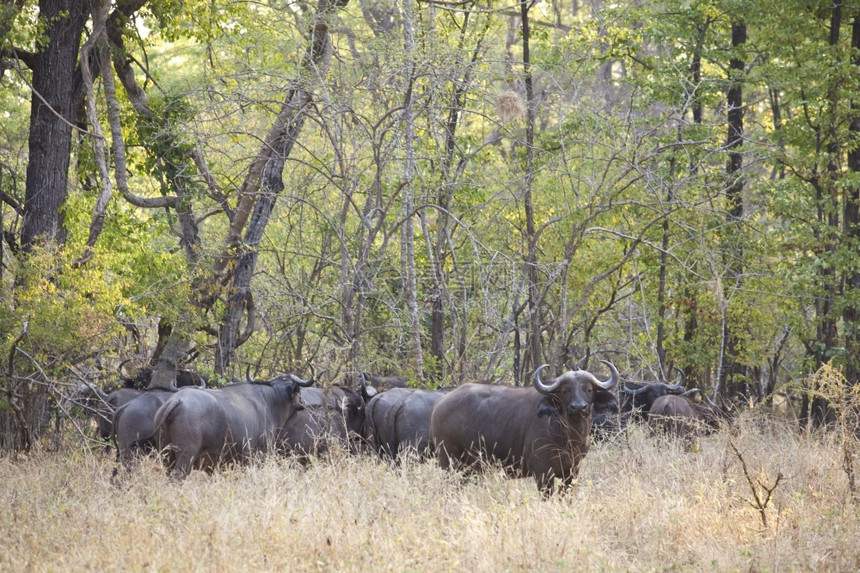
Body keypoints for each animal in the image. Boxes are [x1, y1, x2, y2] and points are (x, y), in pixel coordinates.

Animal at [430, 360, 620, 494]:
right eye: (565, 391)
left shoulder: (572, 472)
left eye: (589, 389)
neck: (568, 438)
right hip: (450, 462)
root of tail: (440, 403)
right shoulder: (542, 472)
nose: (578, 407)